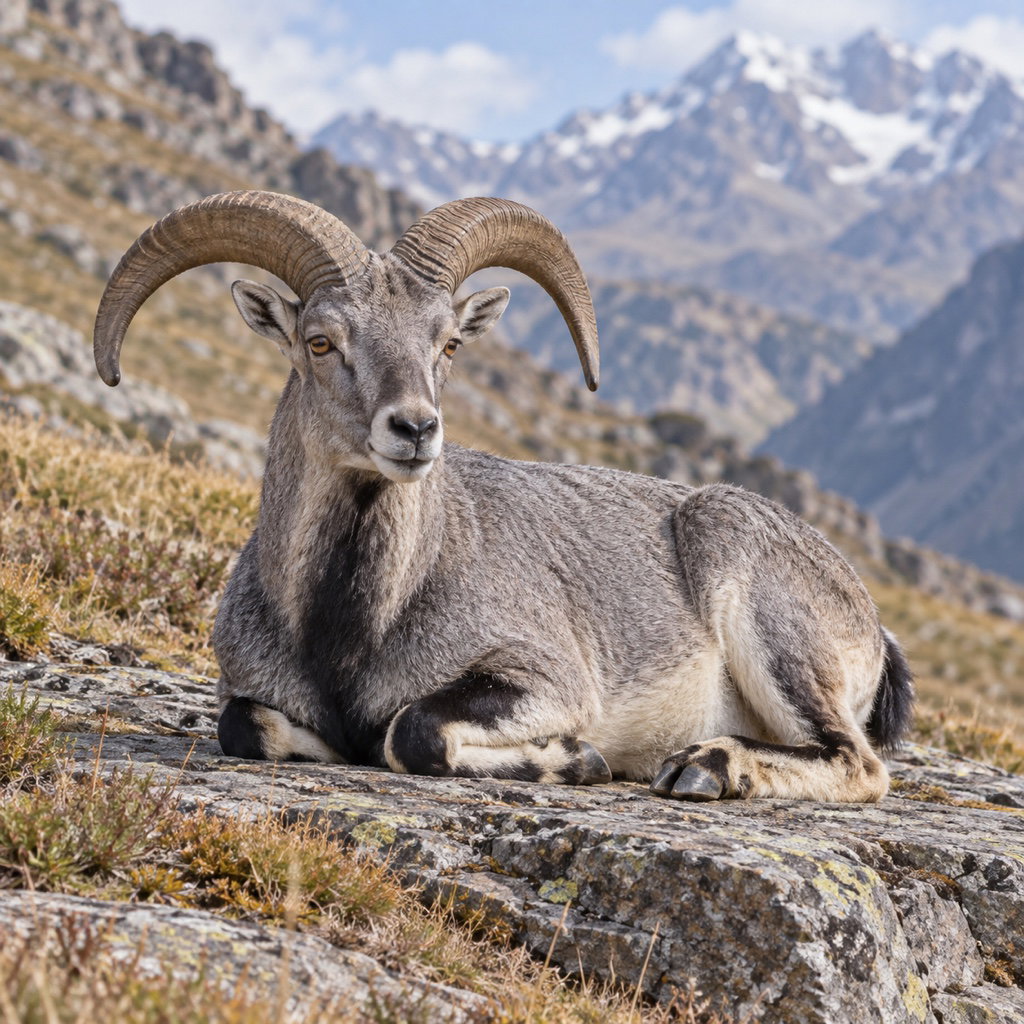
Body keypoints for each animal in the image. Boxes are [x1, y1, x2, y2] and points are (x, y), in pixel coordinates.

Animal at [94, 189, 913, 802]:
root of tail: (871, 624)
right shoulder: (250, 688)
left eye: (449, 343)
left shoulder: (547, 678)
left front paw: (578, 760)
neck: (353, 627)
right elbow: (246, 727)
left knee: (858, 762)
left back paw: (706, 765)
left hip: (767, 614)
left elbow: (410, 730)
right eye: (320, 342)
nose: (415, 428)